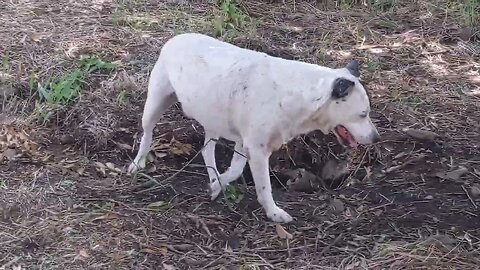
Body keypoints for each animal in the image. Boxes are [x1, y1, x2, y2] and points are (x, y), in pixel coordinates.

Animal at [129, 32, 380, 223]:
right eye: (363, 114)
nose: (376, 138)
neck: (297, 94)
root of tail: (176, 37)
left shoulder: (246, 143)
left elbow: (236, 169)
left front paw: (217, 184)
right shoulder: (258, 150)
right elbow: (264, 187)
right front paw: (273, 213)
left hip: (213, 118)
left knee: (207, 150)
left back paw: (213, 175)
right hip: (155, 103)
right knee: (147, 133)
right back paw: (138, 163)